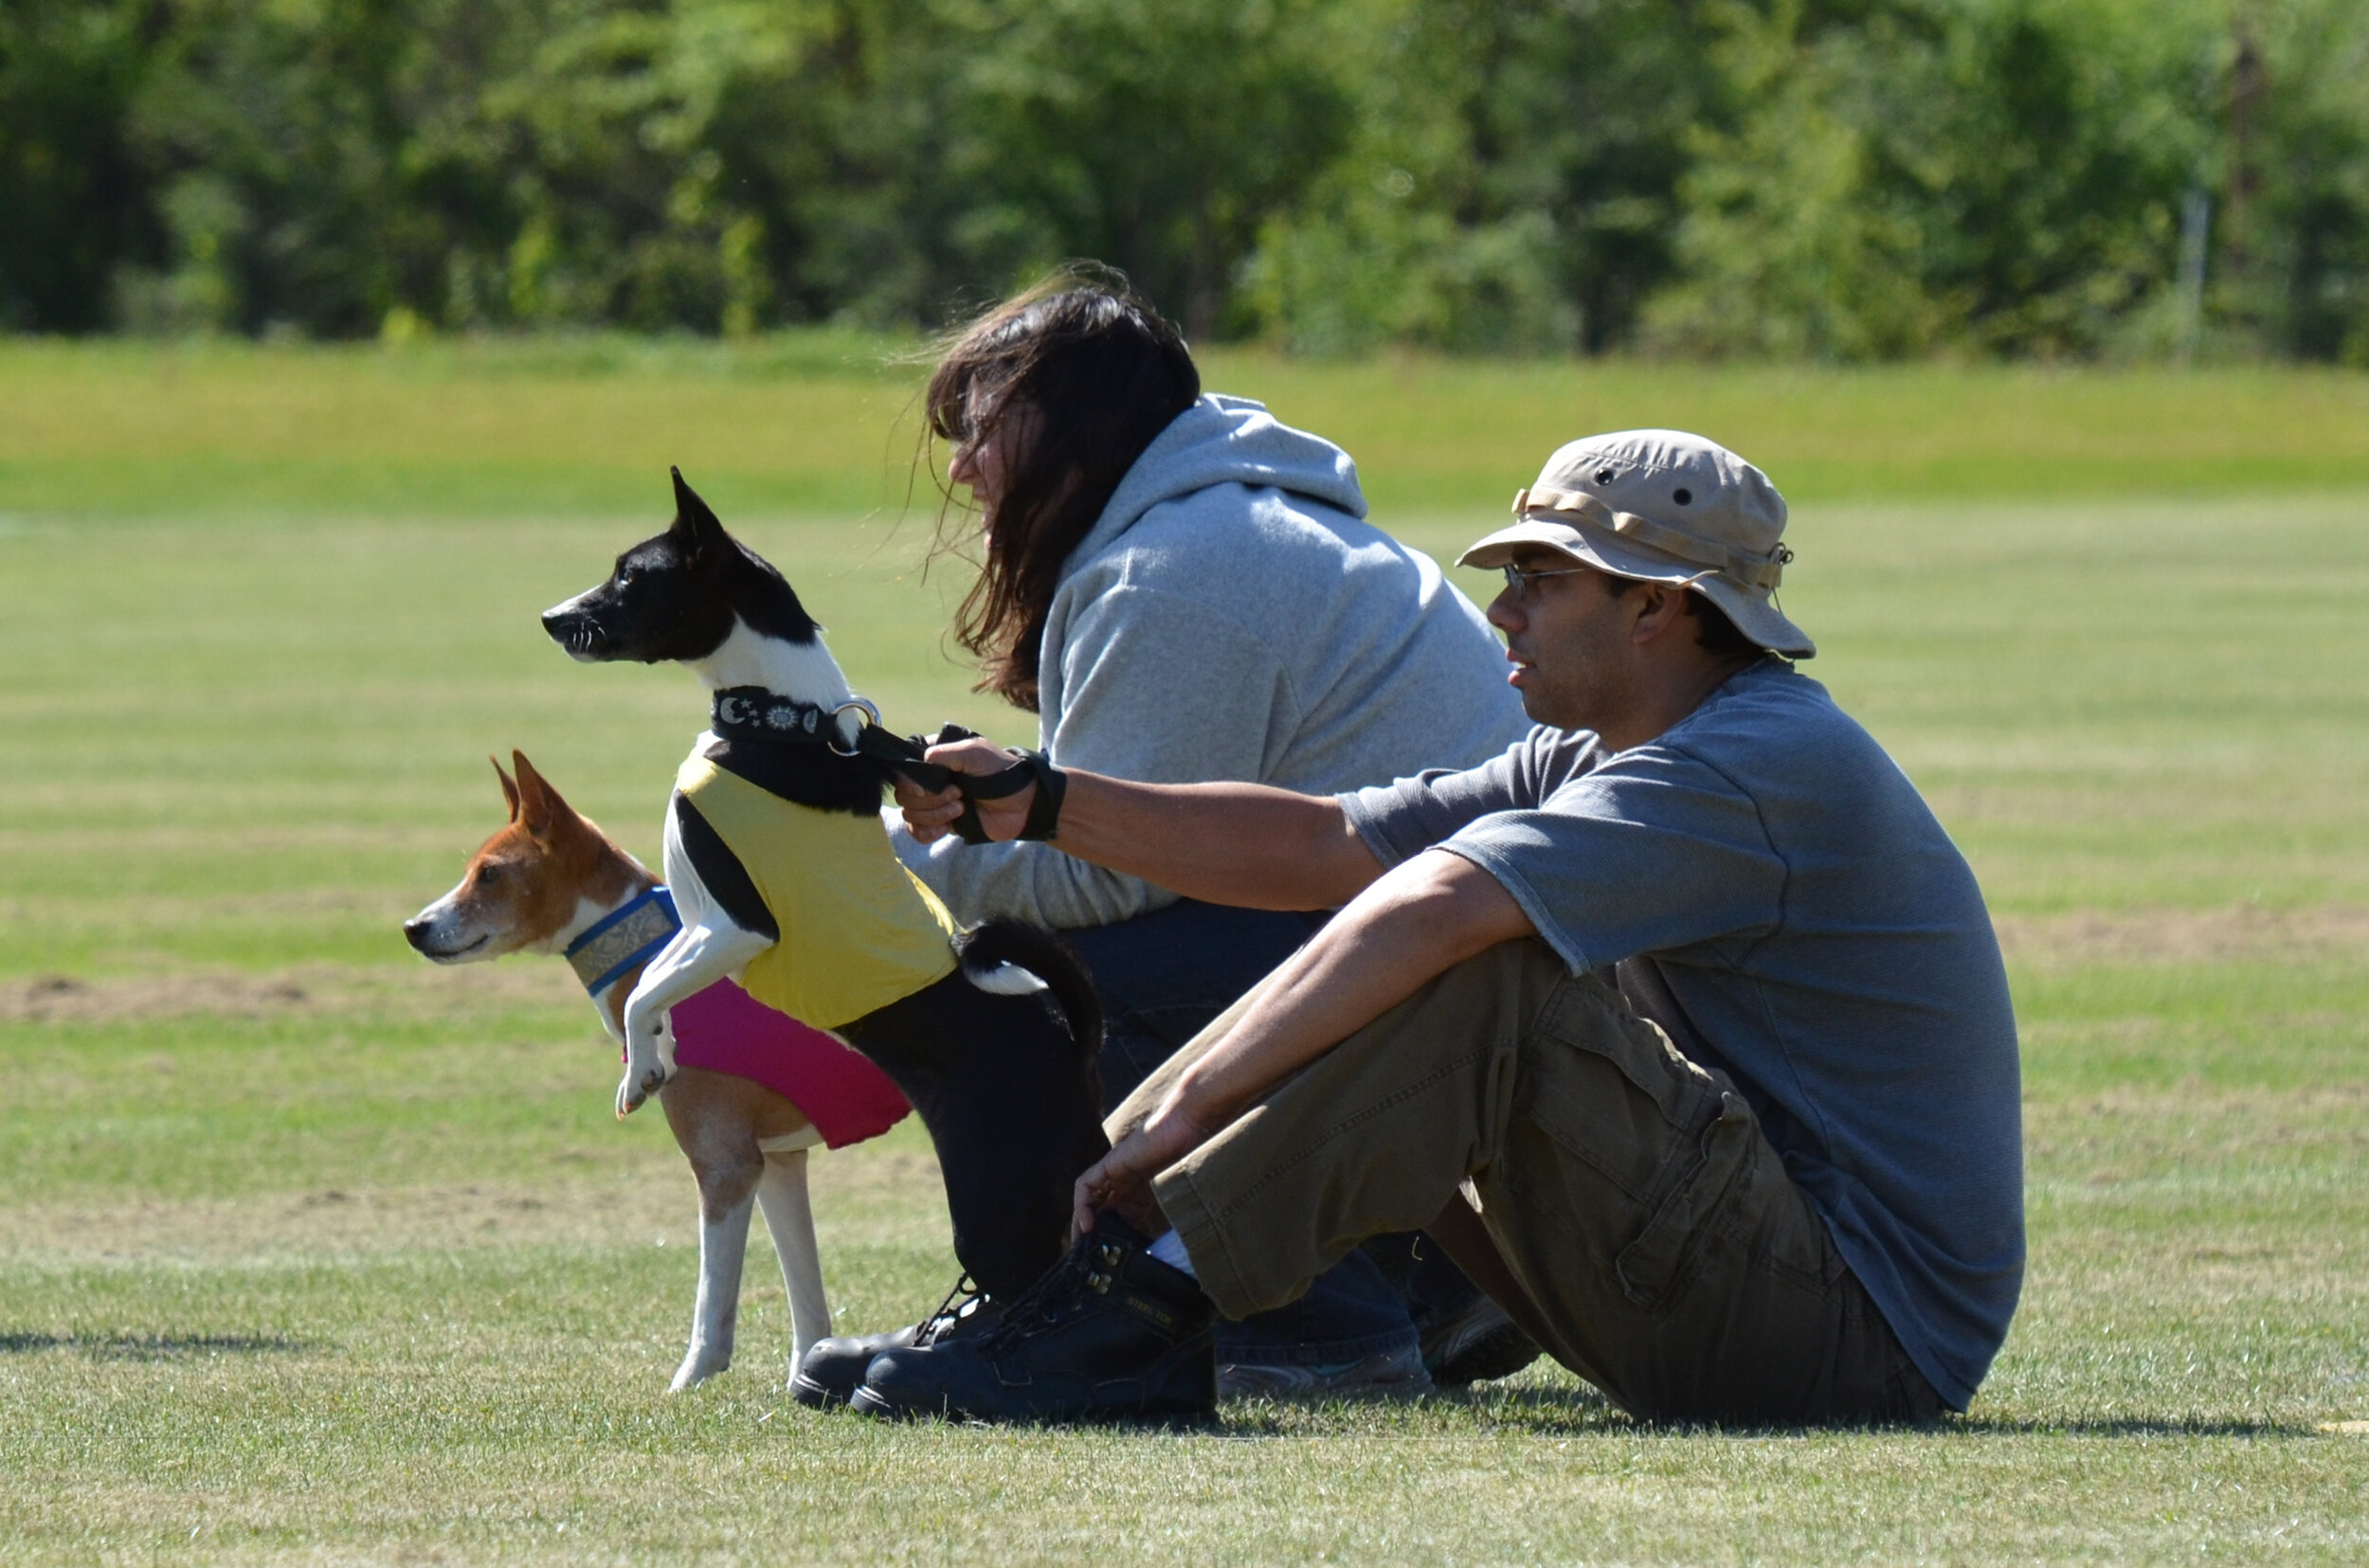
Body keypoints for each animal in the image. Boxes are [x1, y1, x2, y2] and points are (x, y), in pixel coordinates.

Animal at [407, 758, 891, 1393]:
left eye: (489, 875)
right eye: (472, 871)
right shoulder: (780, 1163)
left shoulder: (727, 1168)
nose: (414, 927)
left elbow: (713, 1304)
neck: (657, 960)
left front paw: (689, 1381)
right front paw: (805, 1382)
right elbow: (806, 1301)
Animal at [545, 474, 1109, 1317]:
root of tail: (1066, 1046)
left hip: (996, 1214)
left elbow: (645, 989)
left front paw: (641, 1066)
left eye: (630, 576)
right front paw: (653, 1057)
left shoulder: (739, 926)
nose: (551, 618)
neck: (785, 724)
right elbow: (656, 986)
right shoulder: (700, 921)